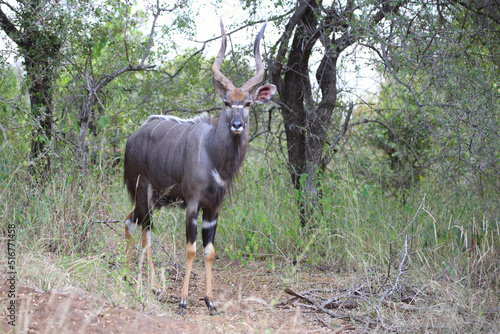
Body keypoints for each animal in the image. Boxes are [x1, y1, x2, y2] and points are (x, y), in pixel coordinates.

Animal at [123, 20, 276, 316]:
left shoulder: (214, 208)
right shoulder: (192, 203)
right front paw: (182, 302)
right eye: (227, 102)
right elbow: (191, 249)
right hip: (143, 192)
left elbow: (210, 251)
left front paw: (210, 302)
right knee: (145, 231)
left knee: (131, 222)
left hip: (154, 199)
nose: (237, 124)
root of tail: (131, 138)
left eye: (248, 103)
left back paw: (126, 276)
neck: (213, 155)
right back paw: (152, 286)